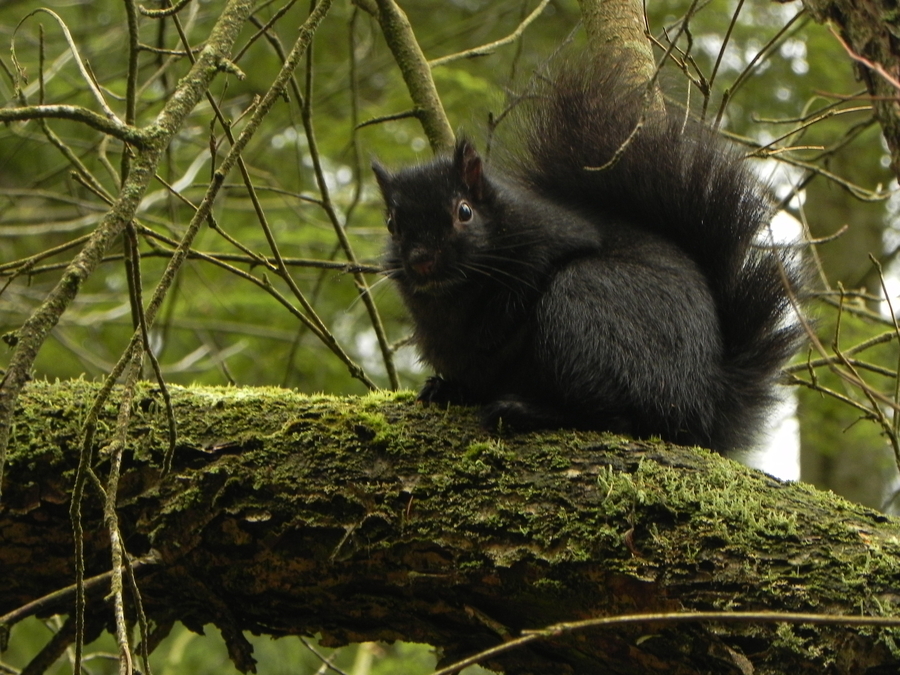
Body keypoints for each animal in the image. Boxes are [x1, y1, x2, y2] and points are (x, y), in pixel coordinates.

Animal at [370, 54, 804, 454]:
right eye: (391, 224)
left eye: (464, 212)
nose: (422, 259)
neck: (453, 299)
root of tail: (705, 406)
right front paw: (447, 387)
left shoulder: (552, 239)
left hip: (584, 306)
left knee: (617, 418)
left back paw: (528, 411)